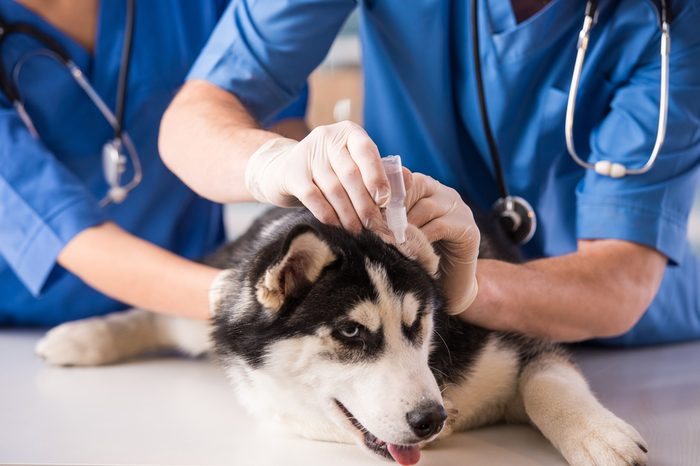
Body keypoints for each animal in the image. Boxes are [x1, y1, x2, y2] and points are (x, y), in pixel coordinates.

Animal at [37, 208, 652, 466]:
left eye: (418, 325)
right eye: (352, 331)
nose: (431, 419)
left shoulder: (514, 339)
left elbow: (546, 382)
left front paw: (599, 437)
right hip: (213, 299)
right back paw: (80, 335)